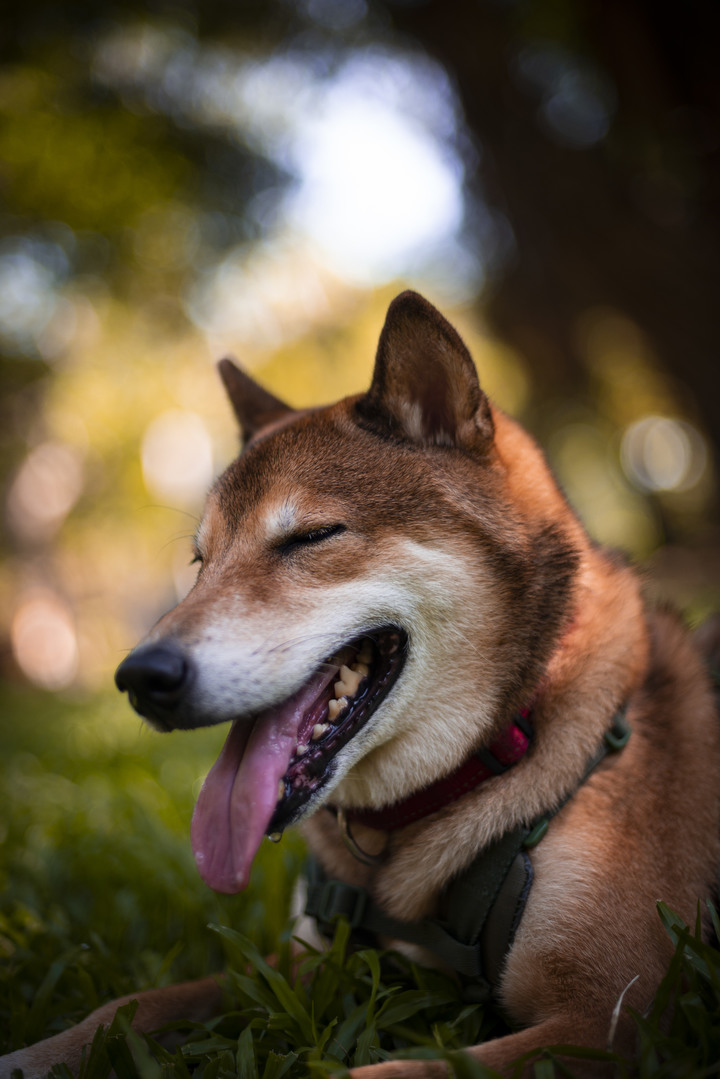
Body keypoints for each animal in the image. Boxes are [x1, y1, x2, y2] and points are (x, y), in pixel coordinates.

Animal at [4, 291, 720, 1074]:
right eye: (200, 560)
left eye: (312, 536)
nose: (141, 675)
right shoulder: (300, 966)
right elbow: (135, 1004)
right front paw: (33, 1053)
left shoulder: (607, 1022)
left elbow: (398, 1069)